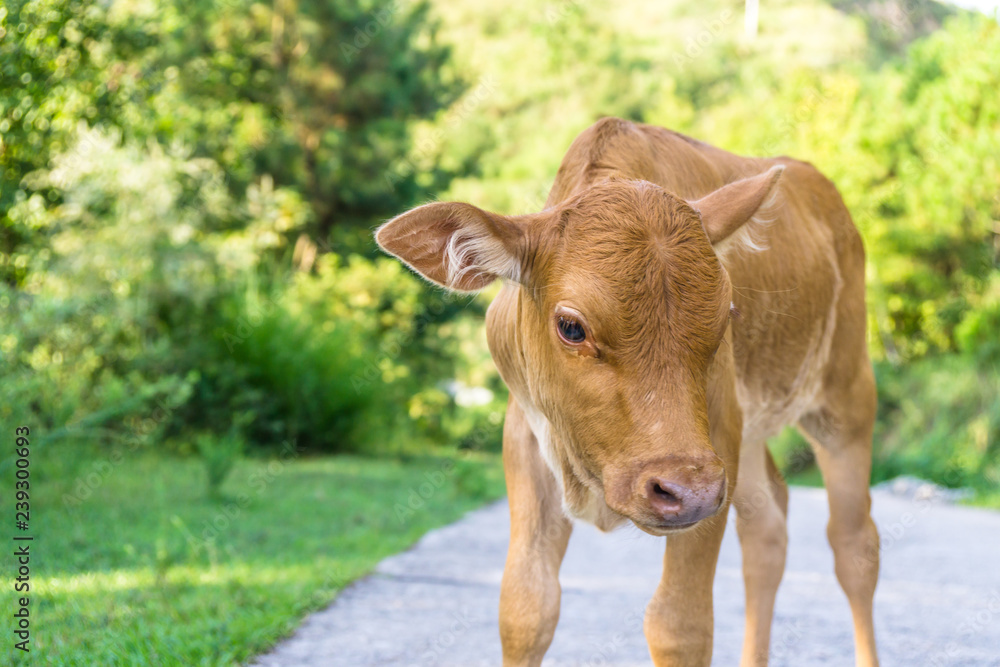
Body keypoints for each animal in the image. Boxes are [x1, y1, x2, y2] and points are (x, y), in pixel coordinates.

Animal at [376, 118, 884, 667]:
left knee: (855, 546)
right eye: (571, 327)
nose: (685, 491)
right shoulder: (528, 434)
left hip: (844, 399)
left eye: (726, 314)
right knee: (766, 527)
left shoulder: (716, 443)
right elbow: (525, 607)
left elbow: (678, 624)